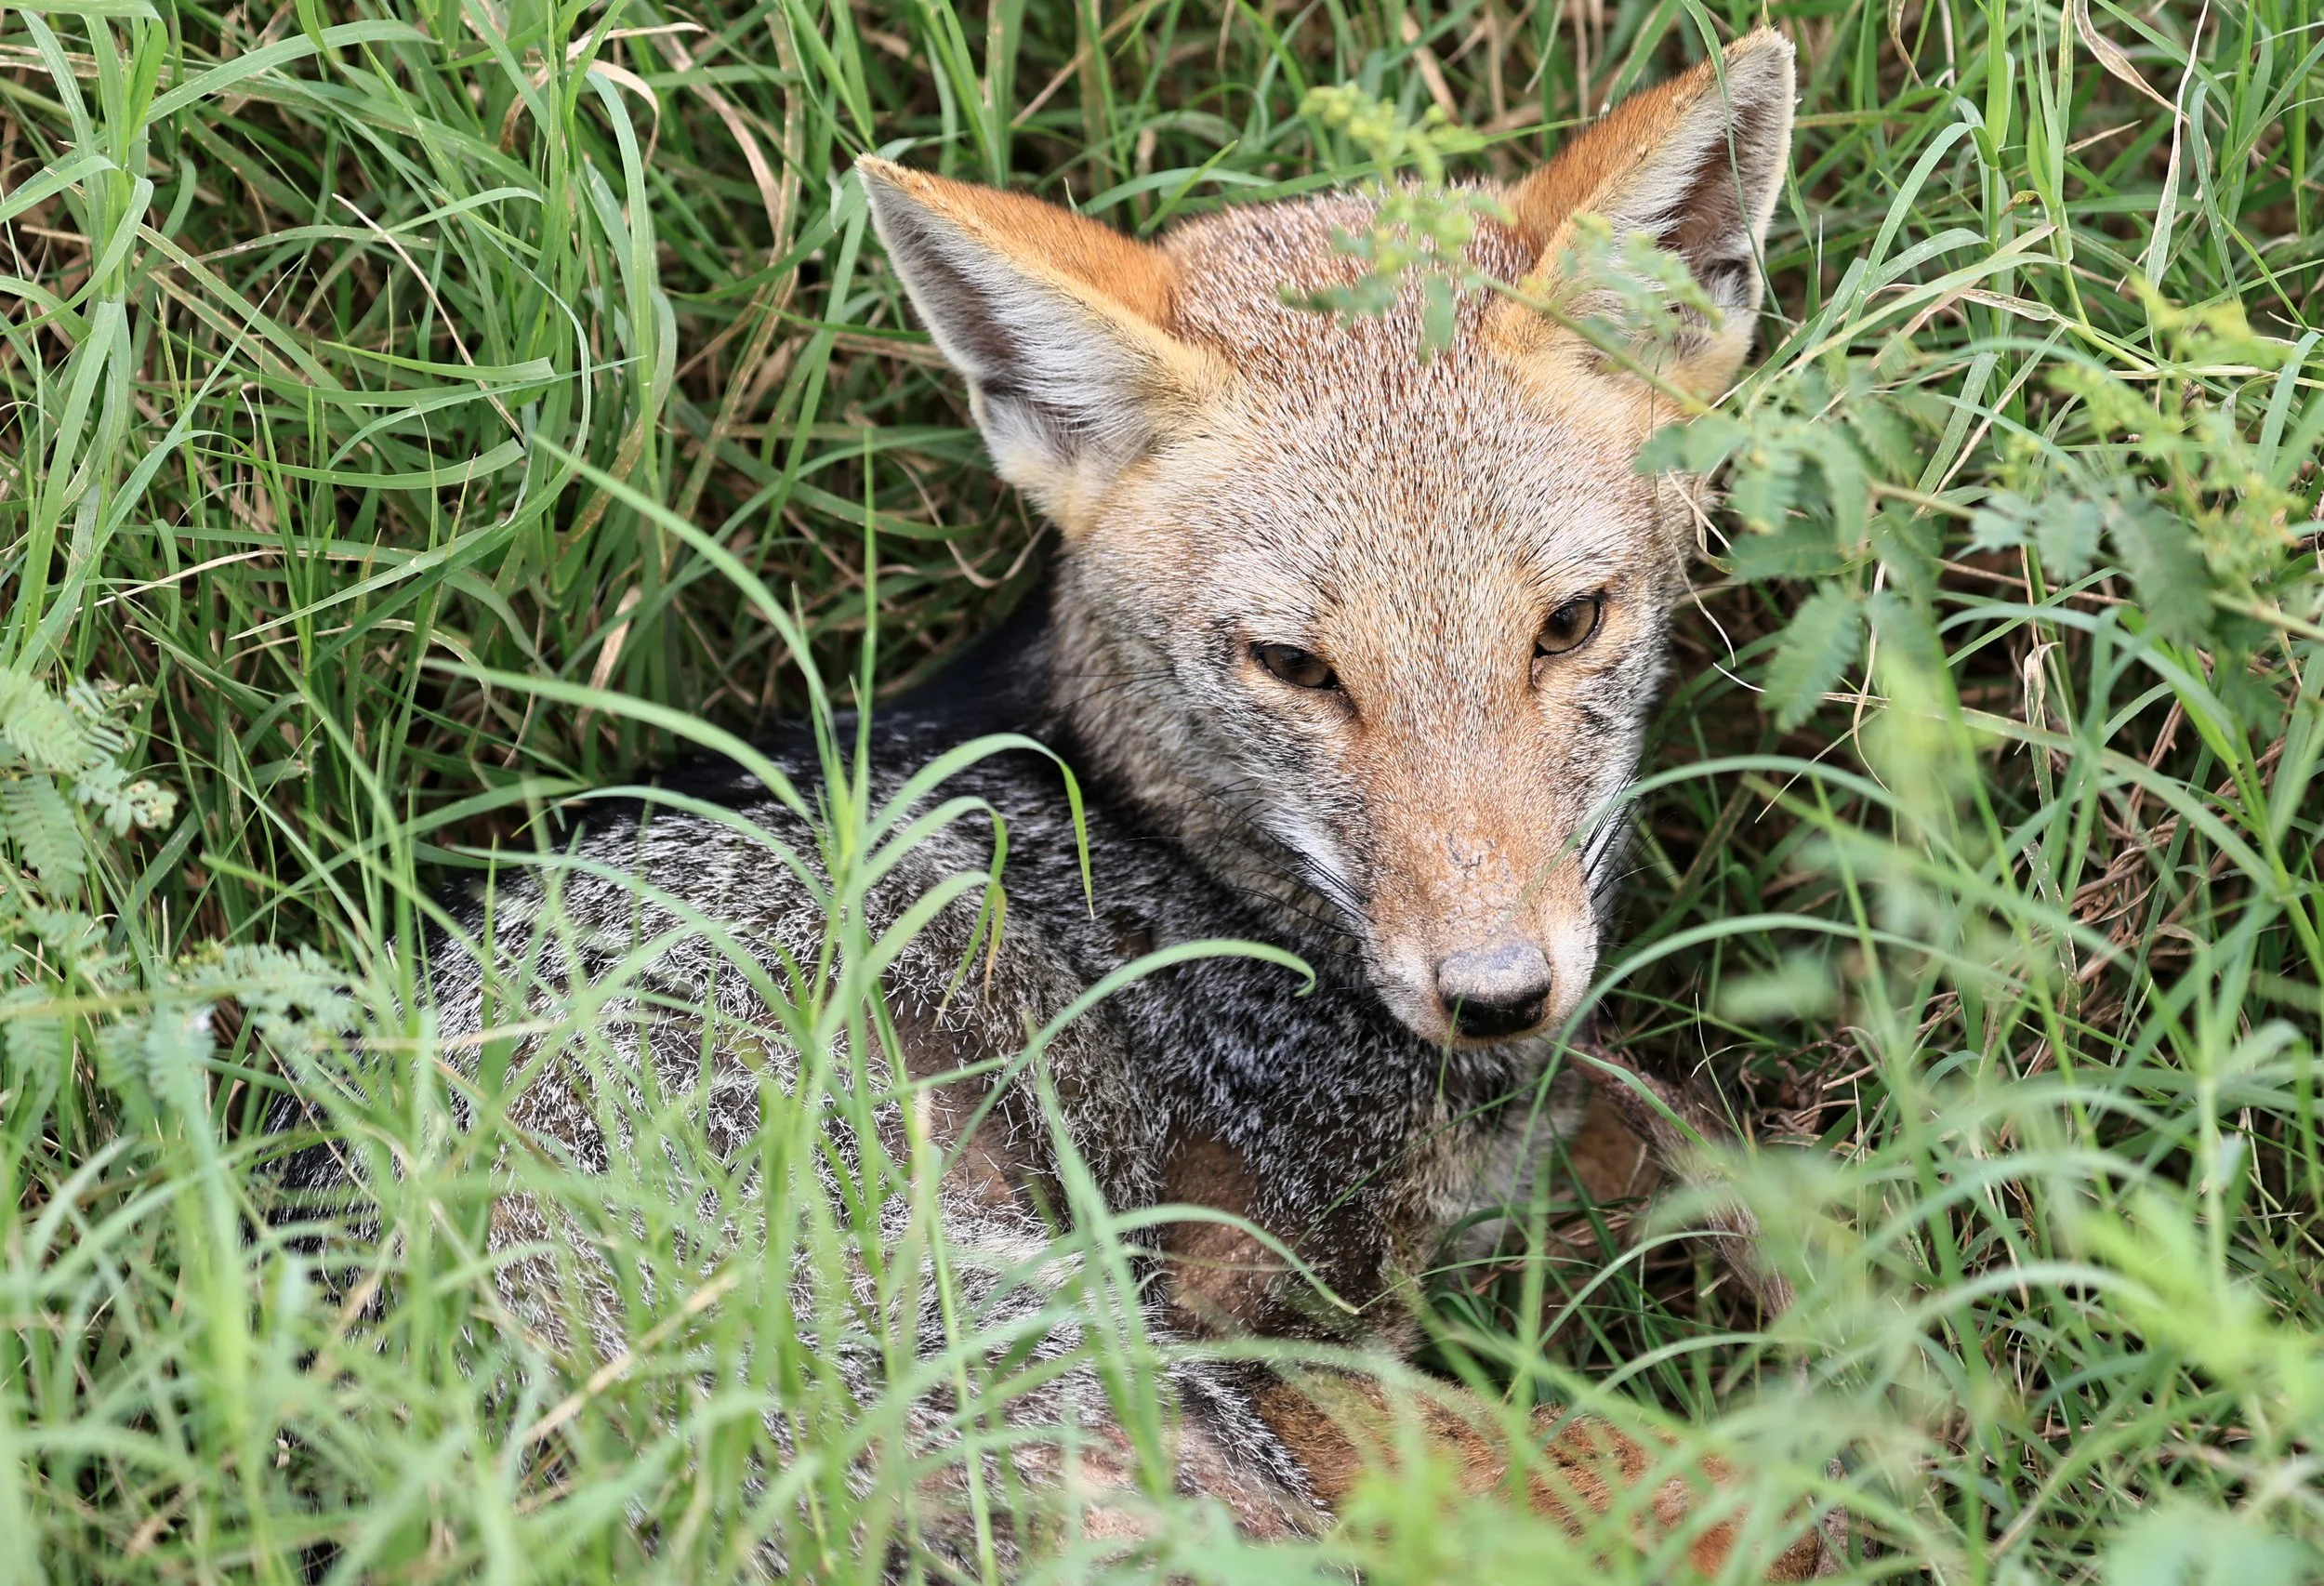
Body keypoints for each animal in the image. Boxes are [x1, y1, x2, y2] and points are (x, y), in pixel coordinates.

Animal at [278, 26, 1830, 1580]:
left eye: (1570, 624)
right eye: (1295, 666)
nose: (1499, 992)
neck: (1149, 836)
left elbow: (1728, 1160)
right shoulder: (1268, 1325)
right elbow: (1711, 1470)